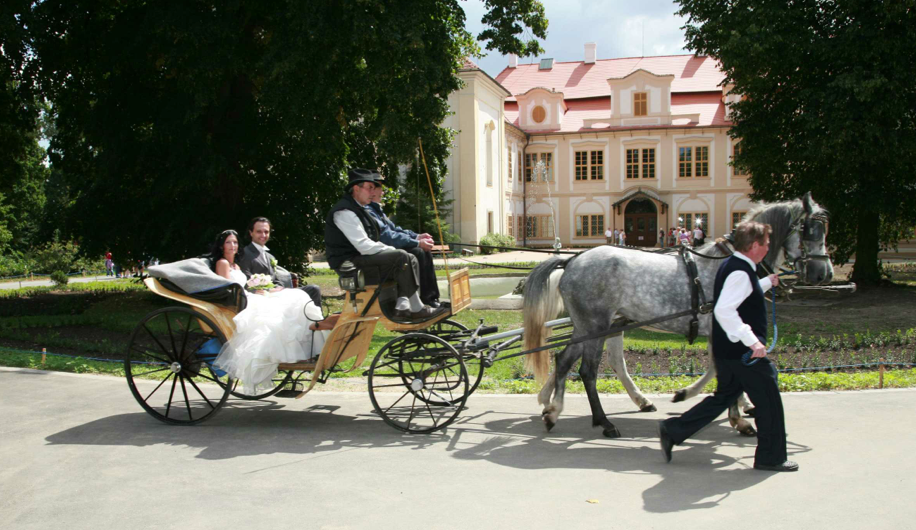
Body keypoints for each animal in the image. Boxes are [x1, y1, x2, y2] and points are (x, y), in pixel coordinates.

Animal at [524, 192, 832, 436]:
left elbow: (720, 369)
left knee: (564, 360)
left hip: (586, 326)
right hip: (596, 326)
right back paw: (603, 422)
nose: (823, 273)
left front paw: (729, 405)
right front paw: (733, 414)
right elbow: (724, 371)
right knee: (588, 371)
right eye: (810, 230)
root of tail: (572, 260)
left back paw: (554, 410)